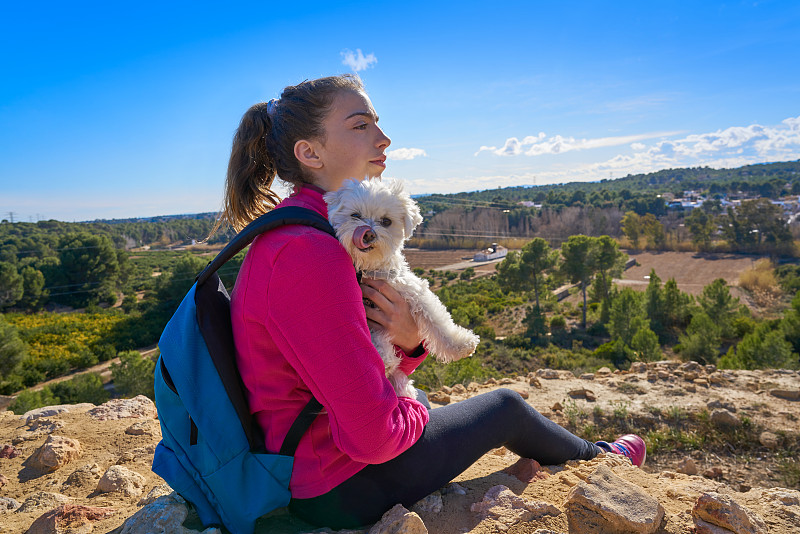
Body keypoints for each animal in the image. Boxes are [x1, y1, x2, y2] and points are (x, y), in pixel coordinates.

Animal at [324, 179, 482, 398]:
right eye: (355, 215)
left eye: (386, 221)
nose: (369, 233)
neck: (372, 269)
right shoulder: (364, 311)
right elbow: (374, 337)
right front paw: (385, 357)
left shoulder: (414, 291)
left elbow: (438, 321)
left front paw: (461, 344)